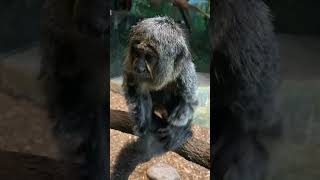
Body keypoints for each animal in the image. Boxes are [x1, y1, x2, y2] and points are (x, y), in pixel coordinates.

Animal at [122, 16, 198, 152]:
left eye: (148, 57)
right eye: (137, 53)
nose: (139, 68)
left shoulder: (185, 70)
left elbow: (189, 100)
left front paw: (176, 132)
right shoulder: (130, 68)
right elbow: (134, 89)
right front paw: (143, 125)